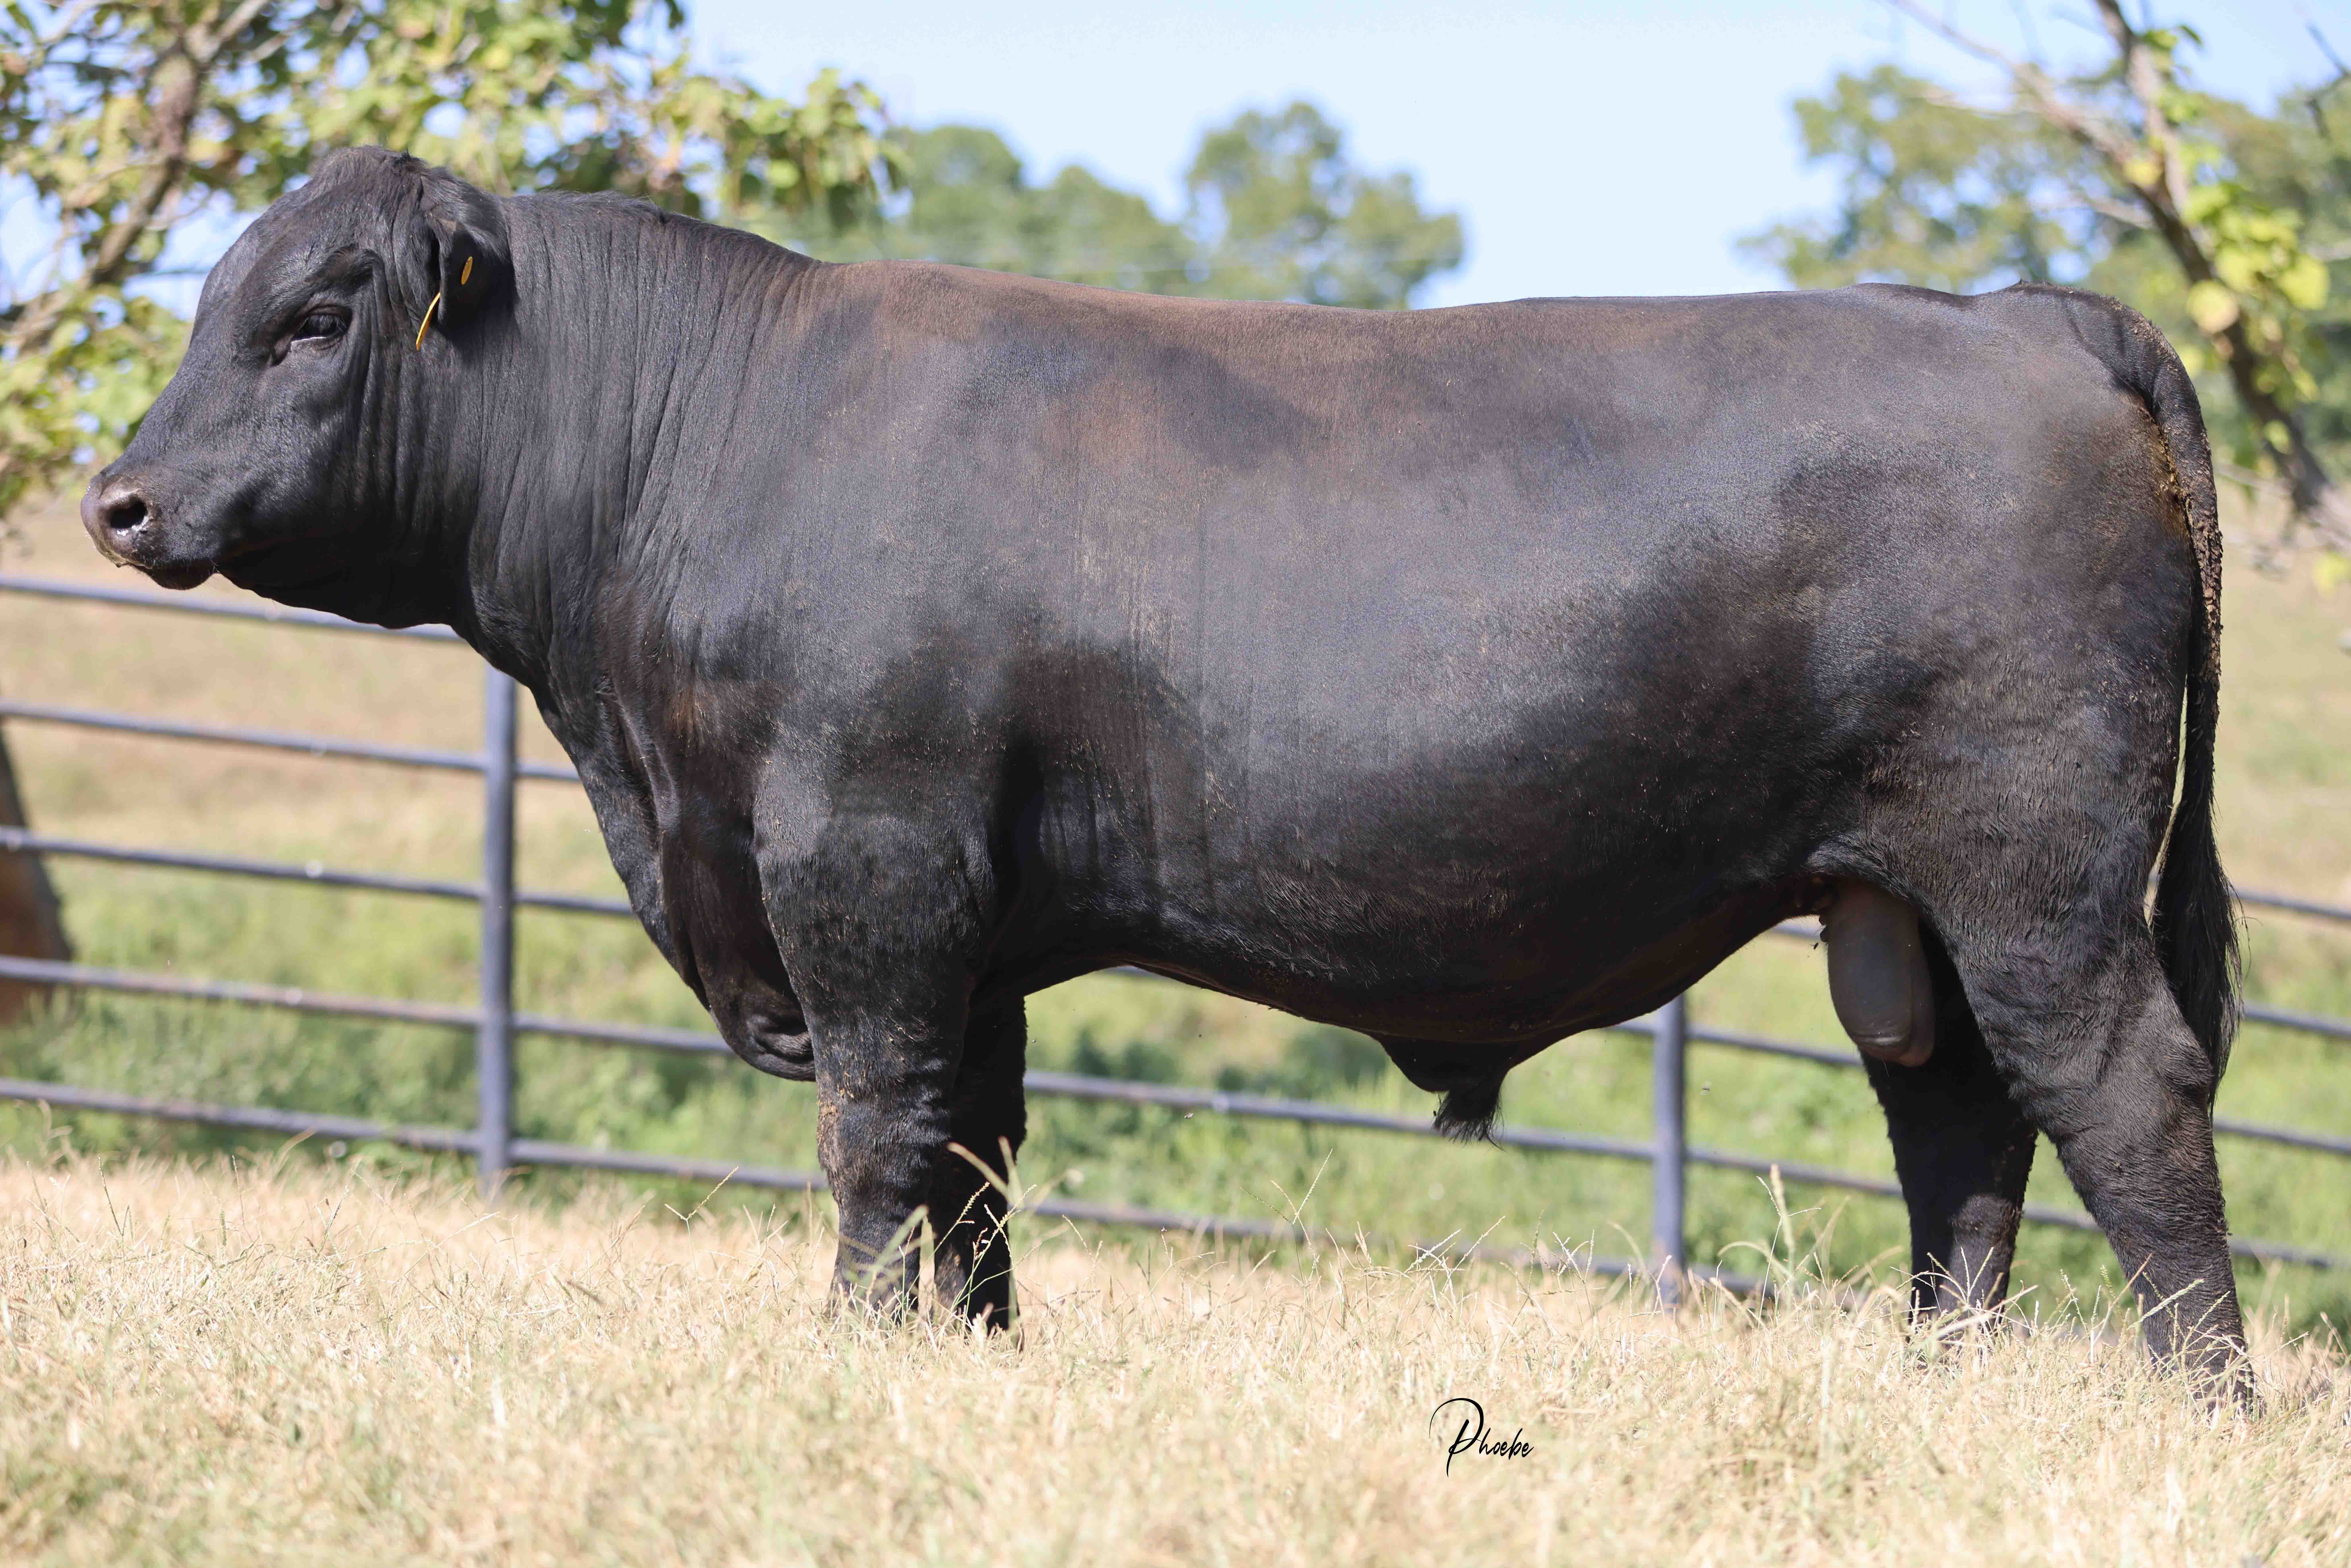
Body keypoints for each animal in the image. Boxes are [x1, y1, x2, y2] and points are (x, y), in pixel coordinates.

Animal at [83, 147, 2246, 1375]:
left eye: (318, 314)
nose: (115, 500)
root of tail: (2016, 318)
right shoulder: (971, 924)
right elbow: (971, 1157)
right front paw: (969, 1374)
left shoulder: (865, 862)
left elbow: (876, 1135)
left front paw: (851, 1361)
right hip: (1903, 900)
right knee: (1958, 1124)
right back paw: (1945, 1390)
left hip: (2033, 856)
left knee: (2119, 1089)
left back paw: (2201, 1396)